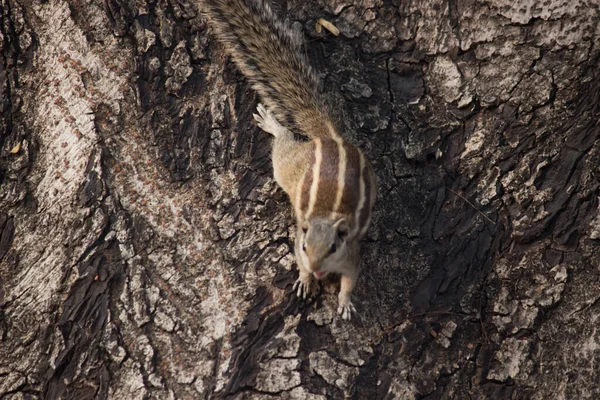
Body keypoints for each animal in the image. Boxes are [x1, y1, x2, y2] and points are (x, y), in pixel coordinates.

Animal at [202, 0, 380, 318]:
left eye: (334, 248)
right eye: (306, 247)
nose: (318, 270)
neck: (326, 217)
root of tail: (330, 138)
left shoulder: (351, 255)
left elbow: (350, 280)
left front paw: (345, 302)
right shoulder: (298, 246)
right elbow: (301, 265)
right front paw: (305, 280)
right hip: (288, 167)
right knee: (283, 144)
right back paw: (272, 124)